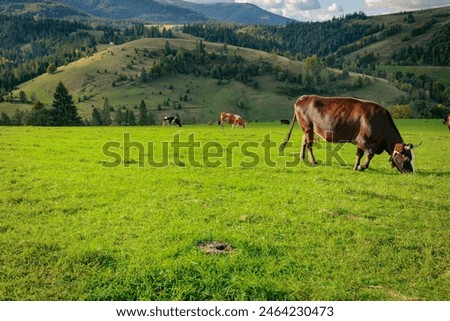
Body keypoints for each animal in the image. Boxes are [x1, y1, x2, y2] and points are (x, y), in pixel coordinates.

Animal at [280, 94, 420, 172]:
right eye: (407, 158)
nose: (411, 172)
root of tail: (306, 97)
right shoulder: (362, 140)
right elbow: (370, 154)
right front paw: (362, 167)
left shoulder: (361, 142)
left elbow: (359, 155)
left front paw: (356, 167)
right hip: (308, 127)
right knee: (309, 144)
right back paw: (313, 161)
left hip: (308, 128)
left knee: (304, 142)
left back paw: (302, 158)